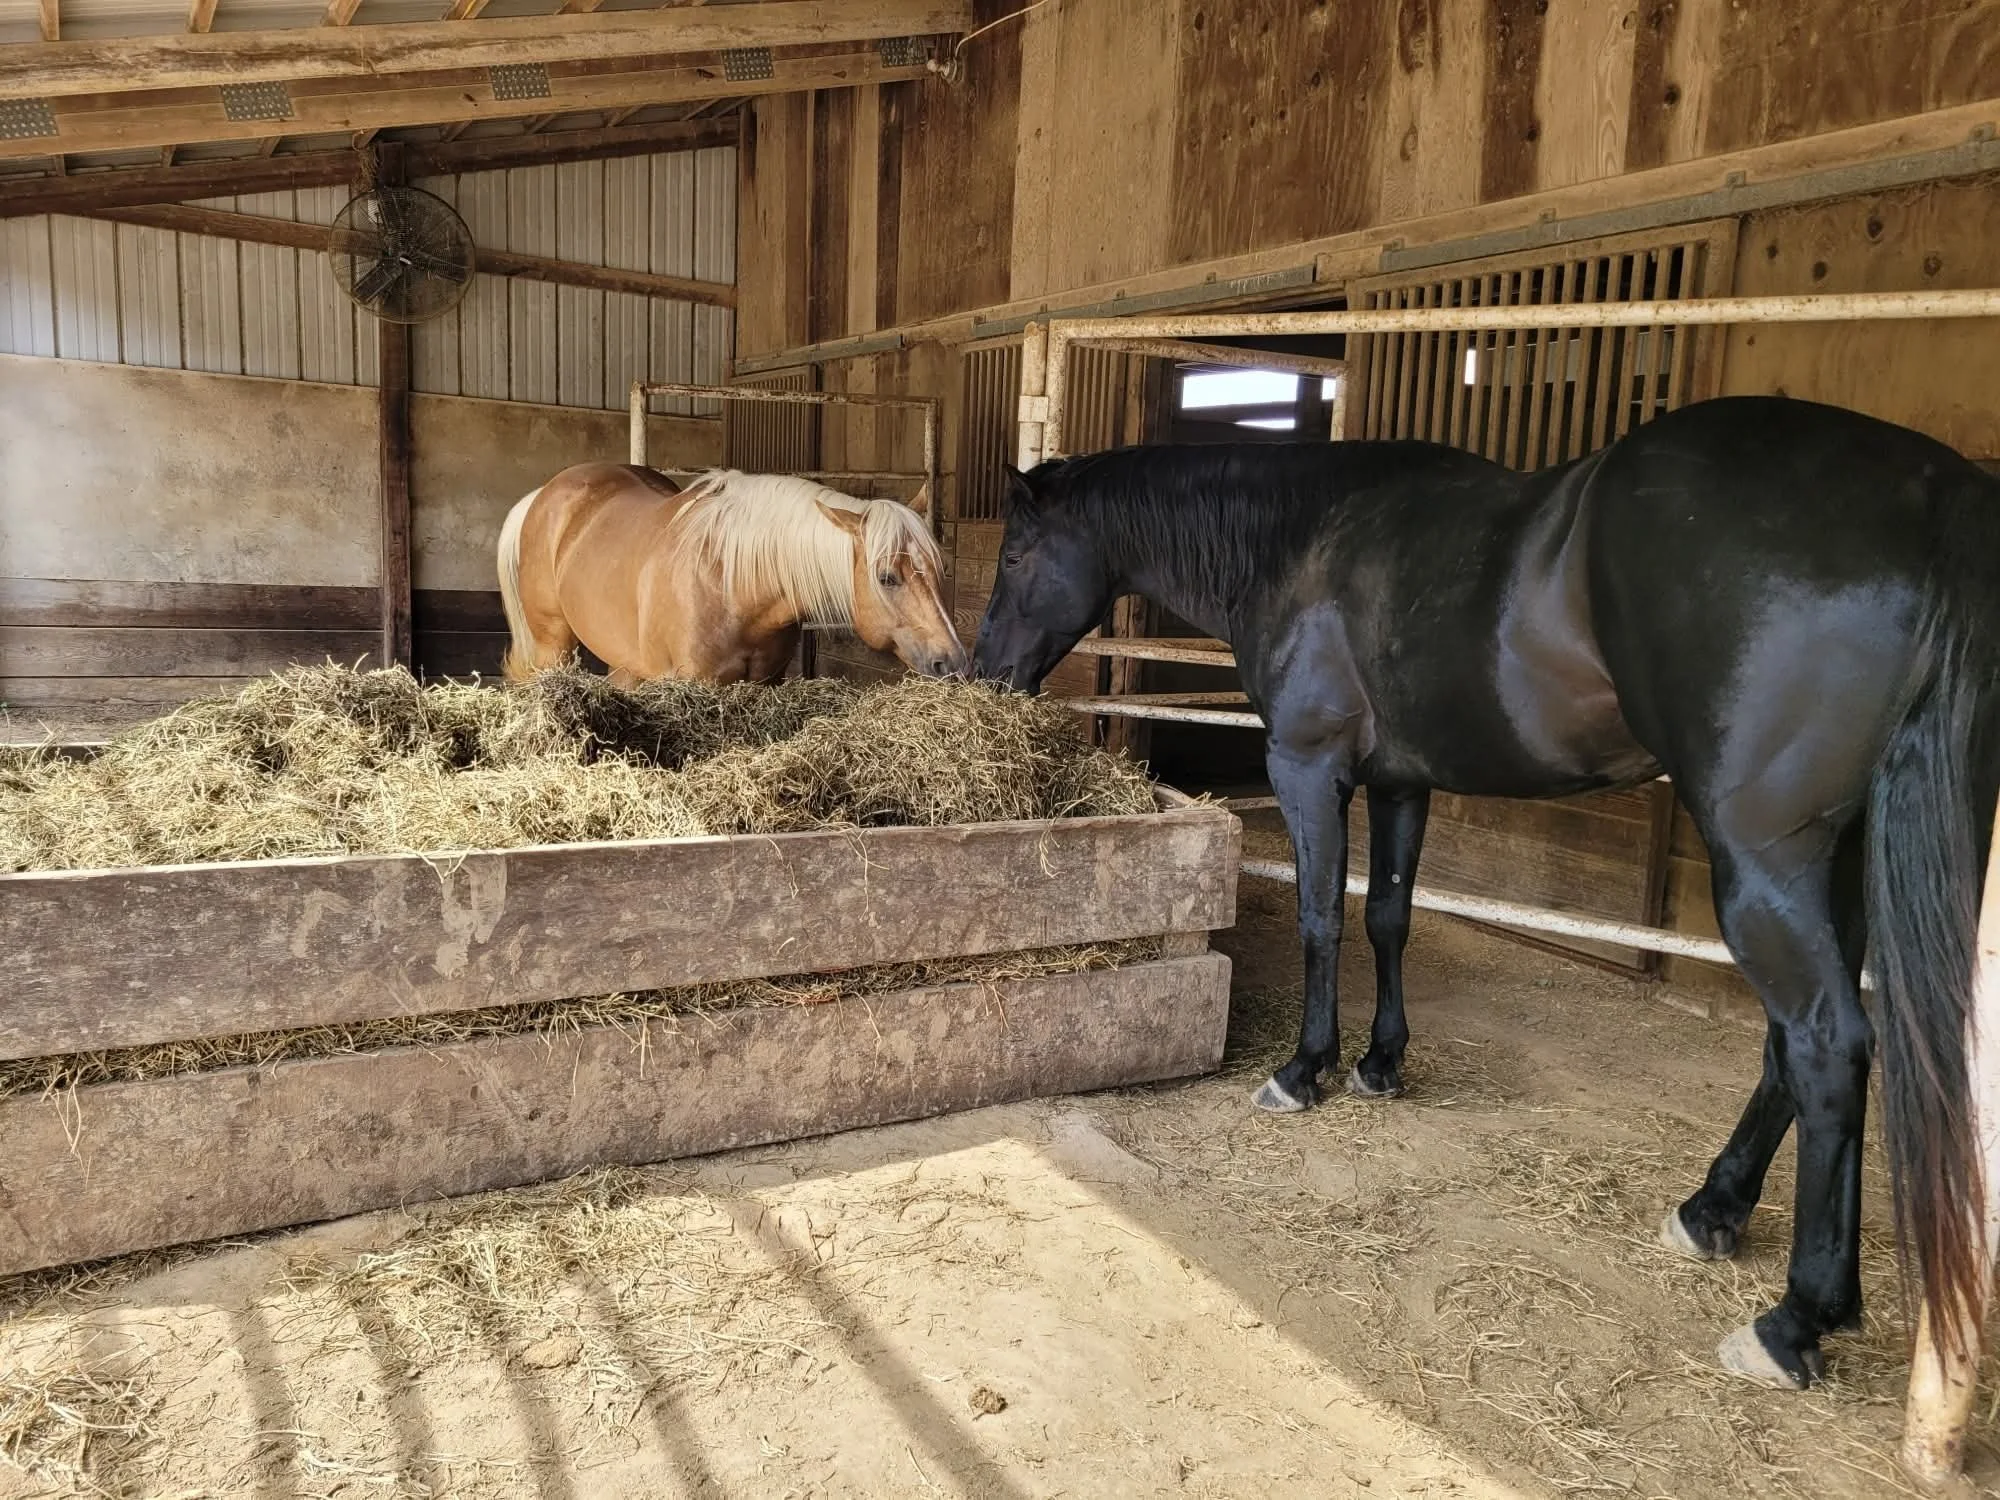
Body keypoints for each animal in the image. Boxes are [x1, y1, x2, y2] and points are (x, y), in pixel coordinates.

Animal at [496, 464, 968, 685]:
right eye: (887, 577)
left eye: (942, 569)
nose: (954, 661)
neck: (729, 580)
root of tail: (544, 495)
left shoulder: (767, 680)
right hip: (552, 646)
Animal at [972, 394, 2000, 1393]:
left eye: (1015, 555)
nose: (981, 673)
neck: (1300, 538)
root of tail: (1941, 499)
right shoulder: (1399, 783)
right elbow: (1386, 917)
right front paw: (1381, 1064)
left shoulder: (1307, 768)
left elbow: (1319, 918)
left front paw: (1303, 1070)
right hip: (1837, 862)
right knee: (1791, 1049)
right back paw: (1712, 1209)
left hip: (1763, 860)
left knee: (1825, 1045)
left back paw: (1793, 1321)